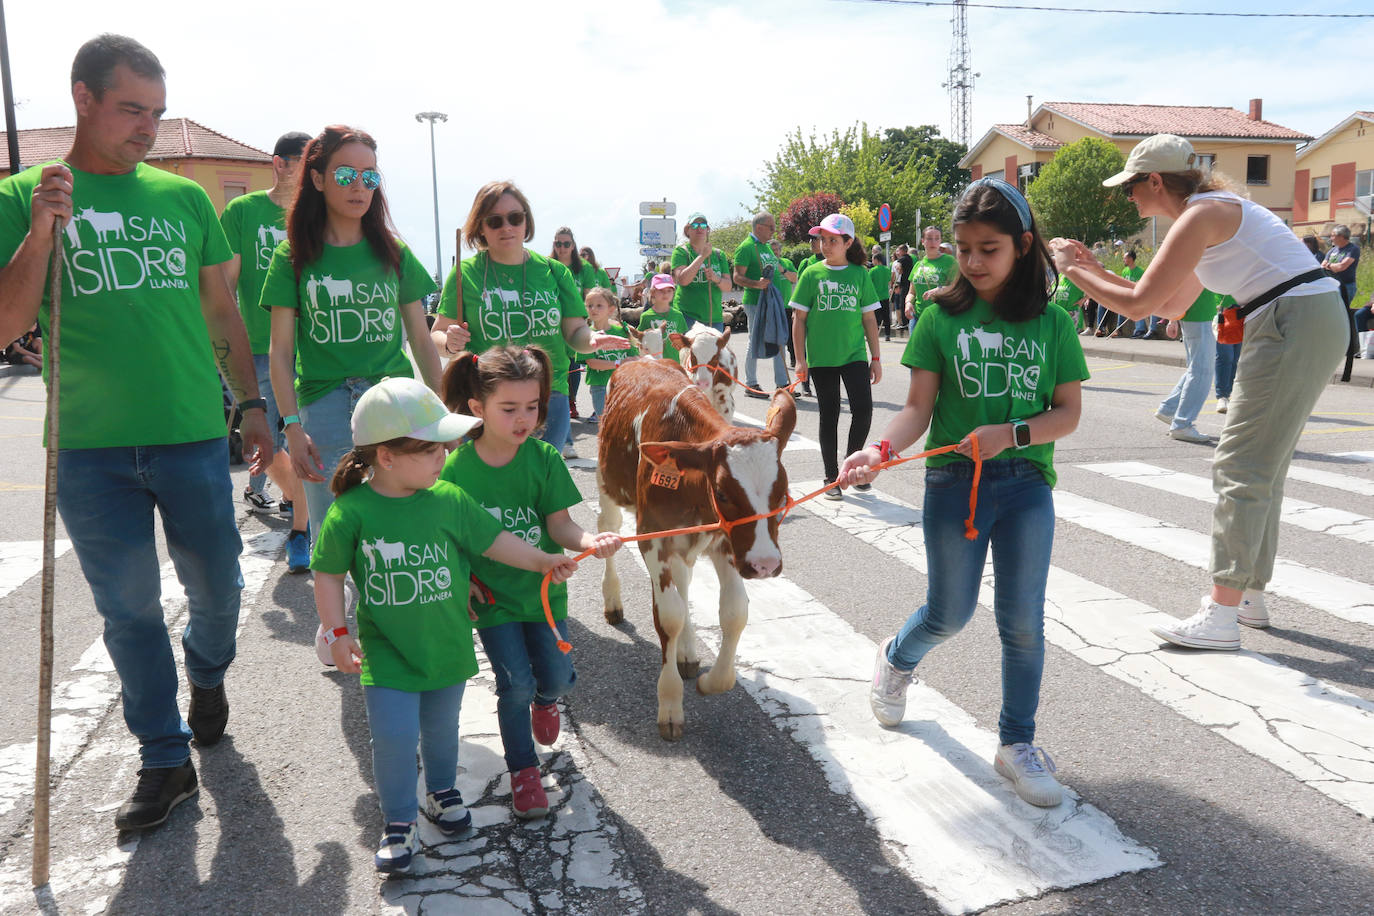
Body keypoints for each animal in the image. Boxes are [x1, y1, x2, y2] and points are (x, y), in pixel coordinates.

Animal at [599, 354, 796, 741]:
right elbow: (668, 617)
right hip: (609, 489)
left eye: (782, 492)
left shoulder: (726, 541)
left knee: (685, 580)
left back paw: (688, 651)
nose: (765, 564)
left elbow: (735, 613)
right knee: (608, 535)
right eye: (722, 493)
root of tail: (641, 355)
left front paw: (711, 682)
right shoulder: (652, 537)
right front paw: (670, 704)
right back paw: (613, 602)